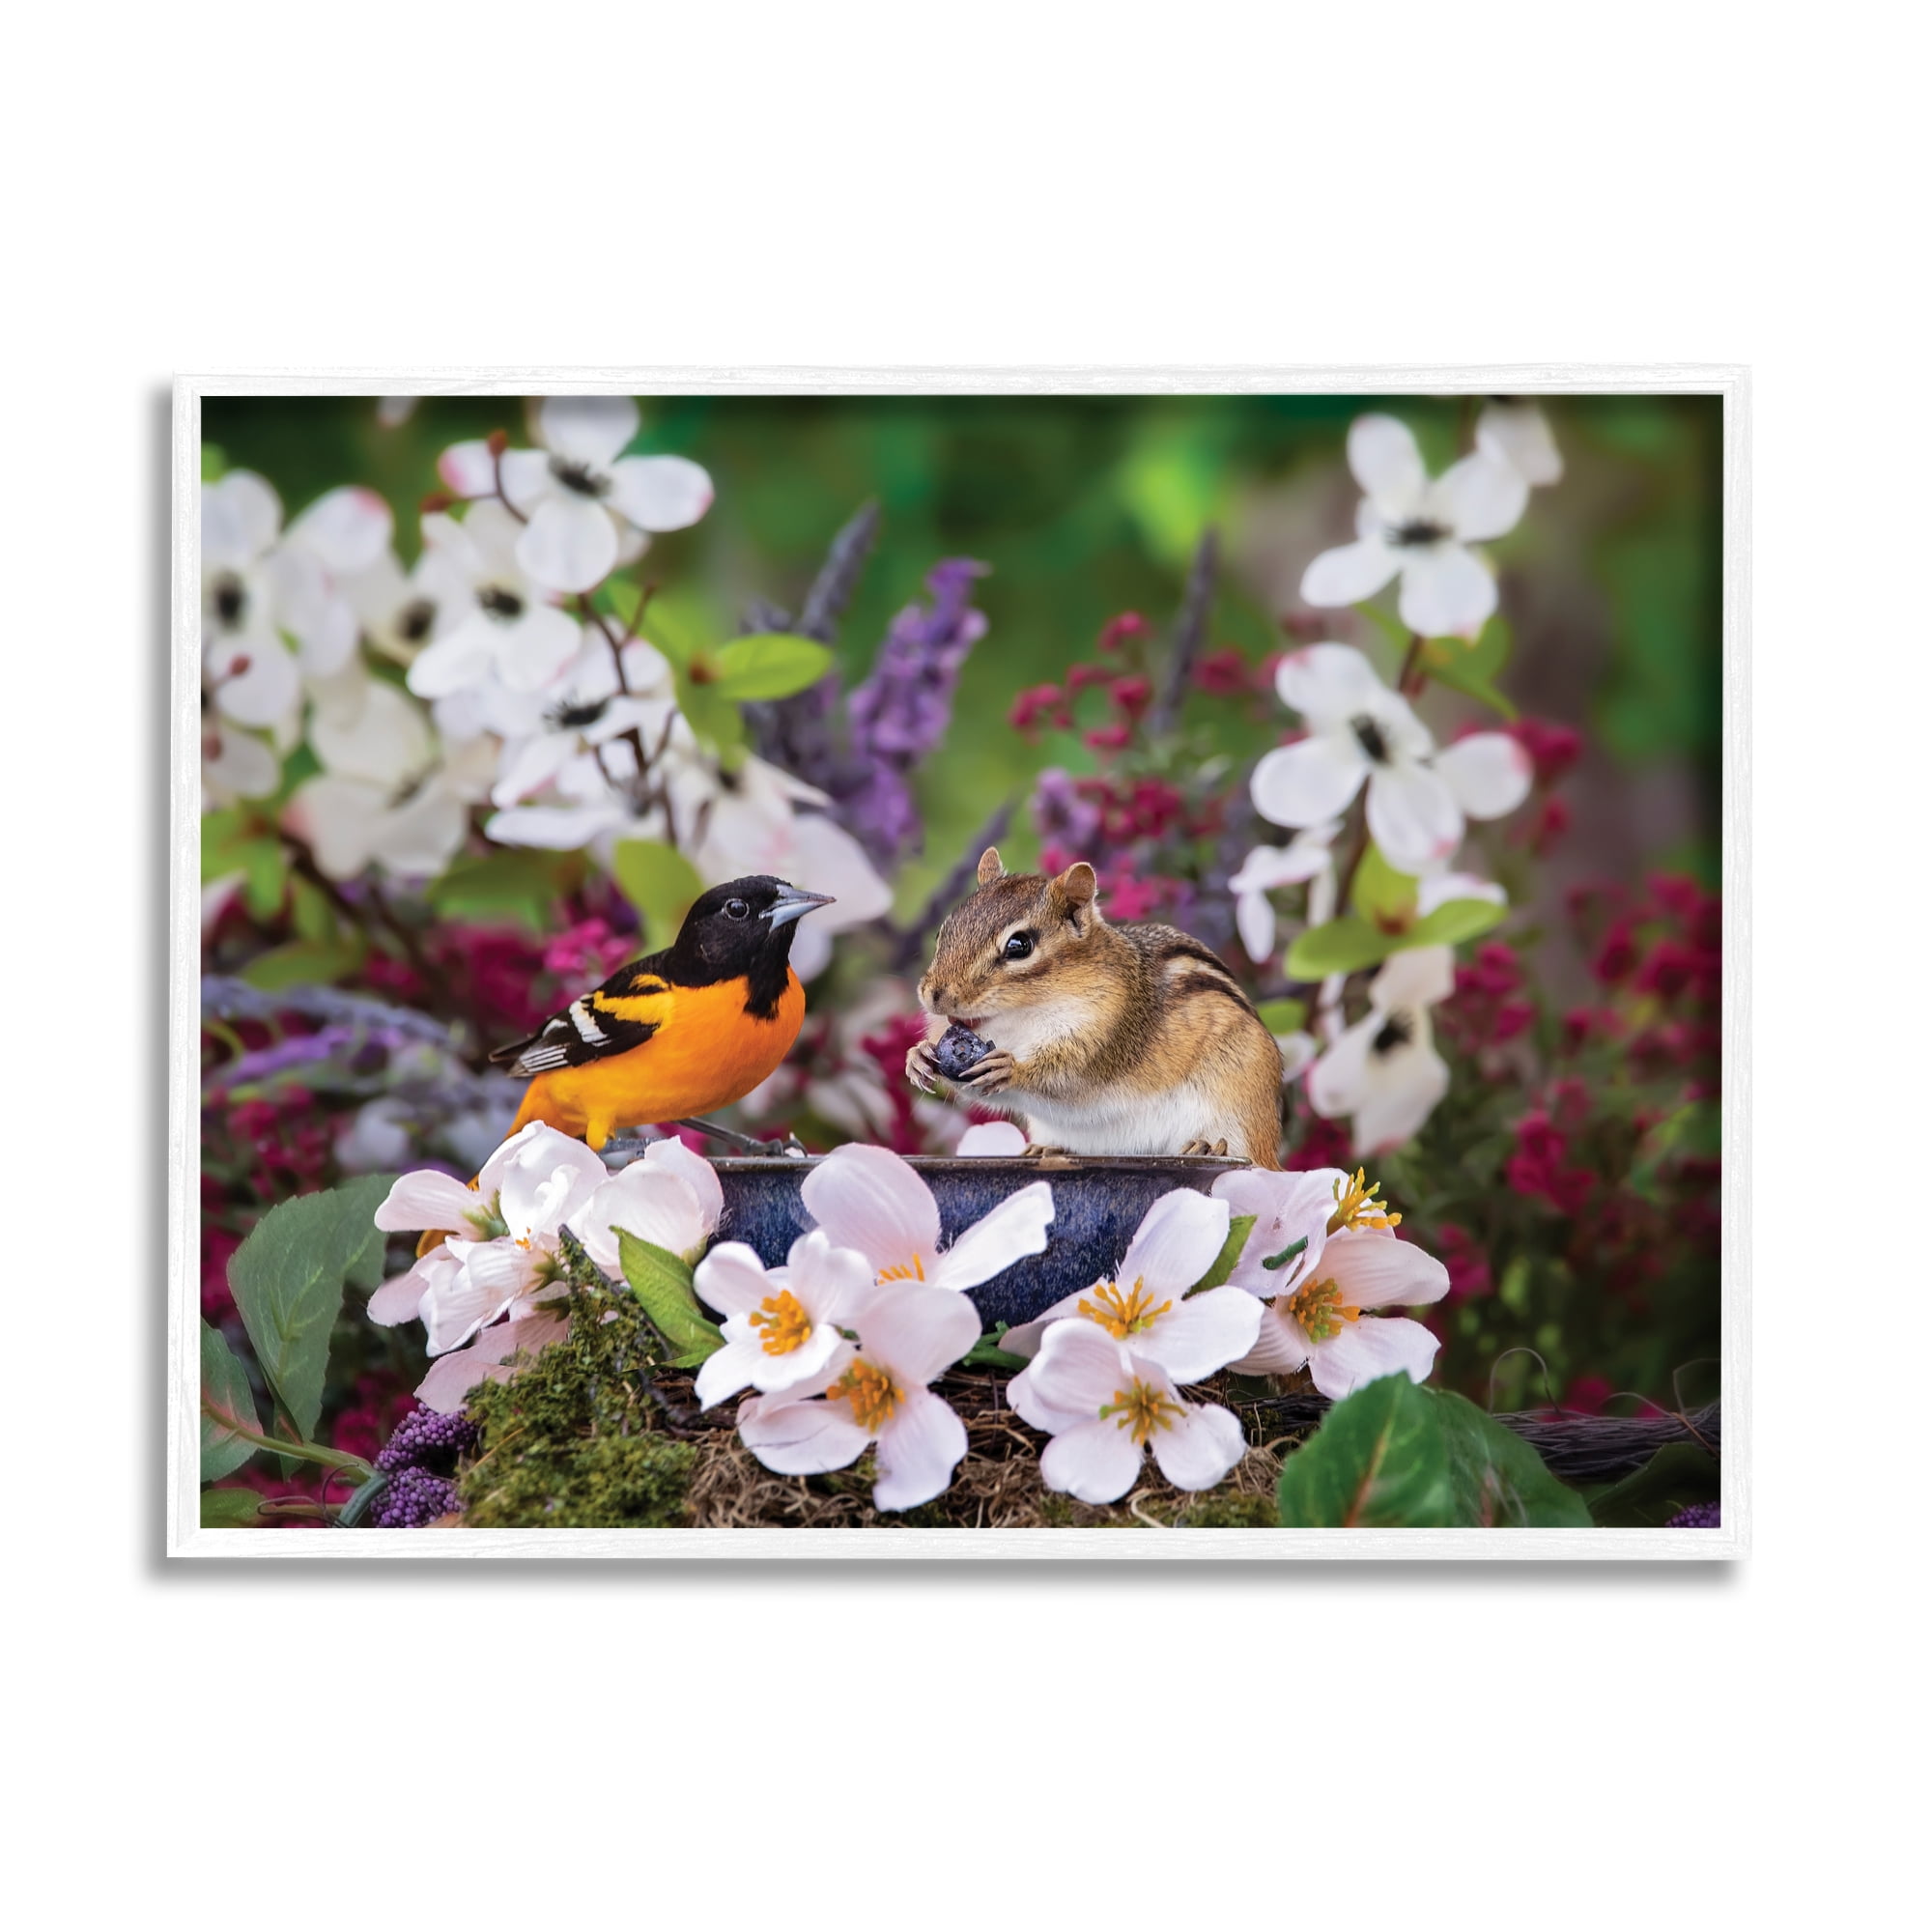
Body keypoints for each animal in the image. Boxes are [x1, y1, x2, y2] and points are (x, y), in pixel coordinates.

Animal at [905, 847, 1284, 1168]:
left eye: (1019, 945)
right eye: (942, 933)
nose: (935, 995)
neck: (1020, 1019)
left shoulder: (1106, 1035)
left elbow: (1061, 1075)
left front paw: (1010, 1068)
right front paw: (918, 1056)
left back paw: (1206, 1146)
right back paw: (1044, 1149)